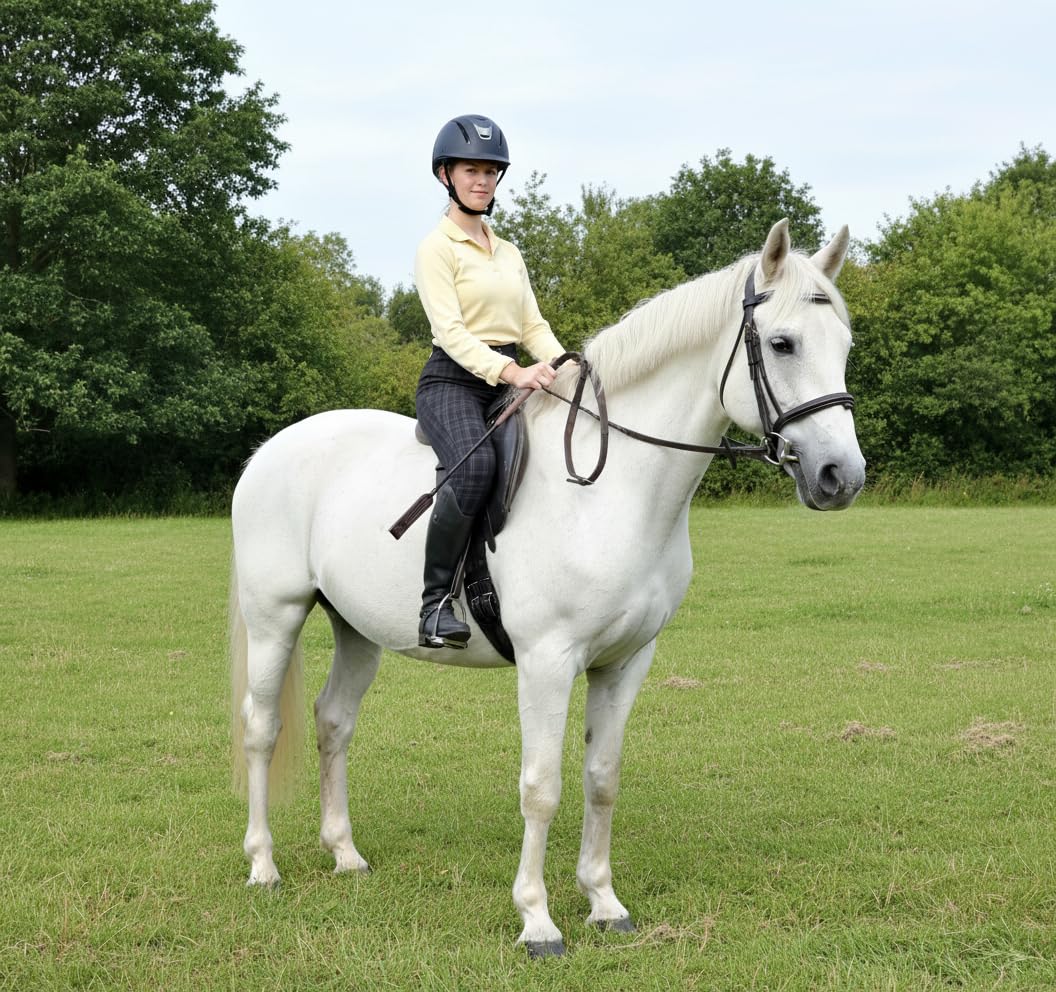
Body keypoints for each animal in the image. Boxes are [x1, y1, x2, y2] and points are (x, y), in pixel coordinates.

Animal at [228, 218, 866, 958]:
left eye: (844, 345)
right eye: (783, 343)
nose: (840, 476)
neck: (611, 489)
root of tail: (270, 451)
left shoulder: (626, 662)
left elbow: (601, 779)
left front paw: (604, 903)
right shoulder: (547, 660)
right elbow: (541, 787)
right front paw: (536, 920)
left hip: (356, 629)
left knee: (333, 721)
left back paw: (346, 855)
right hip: (275, 617)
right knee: (261, 729)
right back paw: (263, 865)